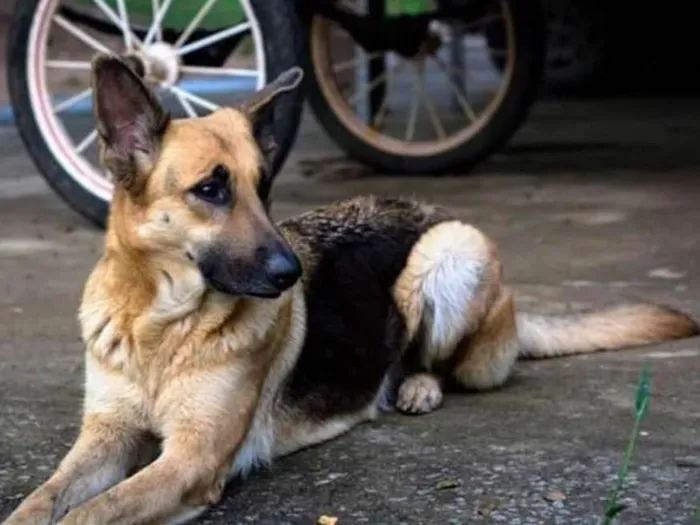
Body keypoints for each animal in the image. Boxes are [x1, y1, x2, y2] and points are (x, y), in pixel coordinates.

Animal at [2, 54, 696, 524]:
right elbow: (44, 497)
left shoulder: (190, 459)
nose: (293, 276)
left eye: (264, 187)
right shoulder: (105, 437)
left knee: (435, 361)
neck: (158, 323)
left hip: (450, 252)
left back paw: (415, 387)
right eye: (211, 189)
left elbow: (95, 510)